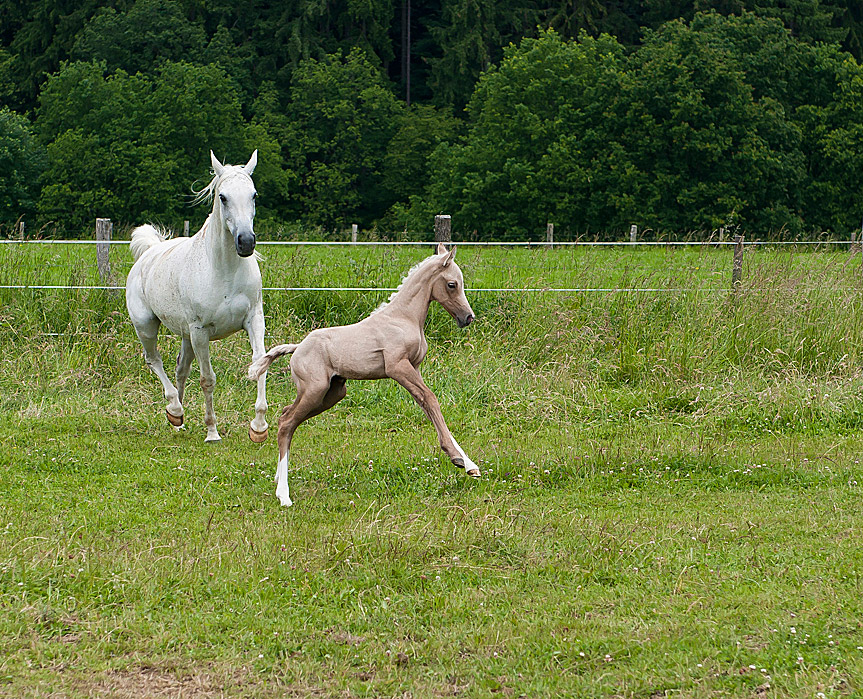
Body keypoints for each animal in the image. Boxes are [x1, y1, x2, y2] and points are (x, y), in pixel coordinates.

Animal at [124, 152, 266, 442]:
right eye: (223, 197)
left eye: (254, 194)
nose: (246, 242)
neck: (223, 271)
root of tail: (150, 252)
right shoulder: (201, 331)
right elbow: (207, 379)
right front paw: (212, 432)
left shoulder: (254, 319)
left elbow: (259, 363)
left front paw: (258, 427)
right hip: (147, 326)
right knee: (154, 360)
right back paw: (174, 409)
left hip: (185, 335)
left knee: (181, 368)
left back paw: (178, 421)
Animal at [250, 246, 480, 508]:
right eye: (452, 284)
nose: (468, 317)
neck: (403, 317)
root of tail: (297, 348)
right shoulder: (398, 367)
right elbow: (431, 400)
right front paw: (460, 460)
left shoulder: (414, 368)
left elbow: (427, 405)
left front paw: (467, 463)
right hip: (315, 391)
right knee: (287, 423)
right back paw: (284, 494)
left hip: (333, 393)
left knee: (286, 415)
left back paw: (279, 478)